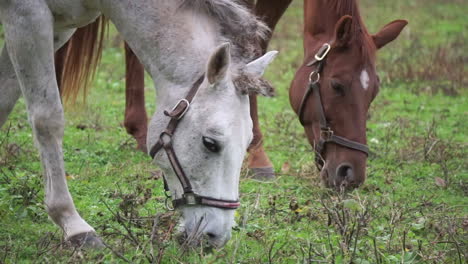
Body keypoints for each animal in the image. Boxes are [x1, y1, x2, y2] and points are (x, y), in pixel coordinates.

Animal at [0, 0, 278, 249]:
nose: (216, 237)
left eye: (248, 144)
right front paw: (73, 224)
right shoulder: (28, 15)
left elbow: (5, 98)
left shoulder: (58, 26)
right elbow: (48, 119)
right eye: (210, 143)